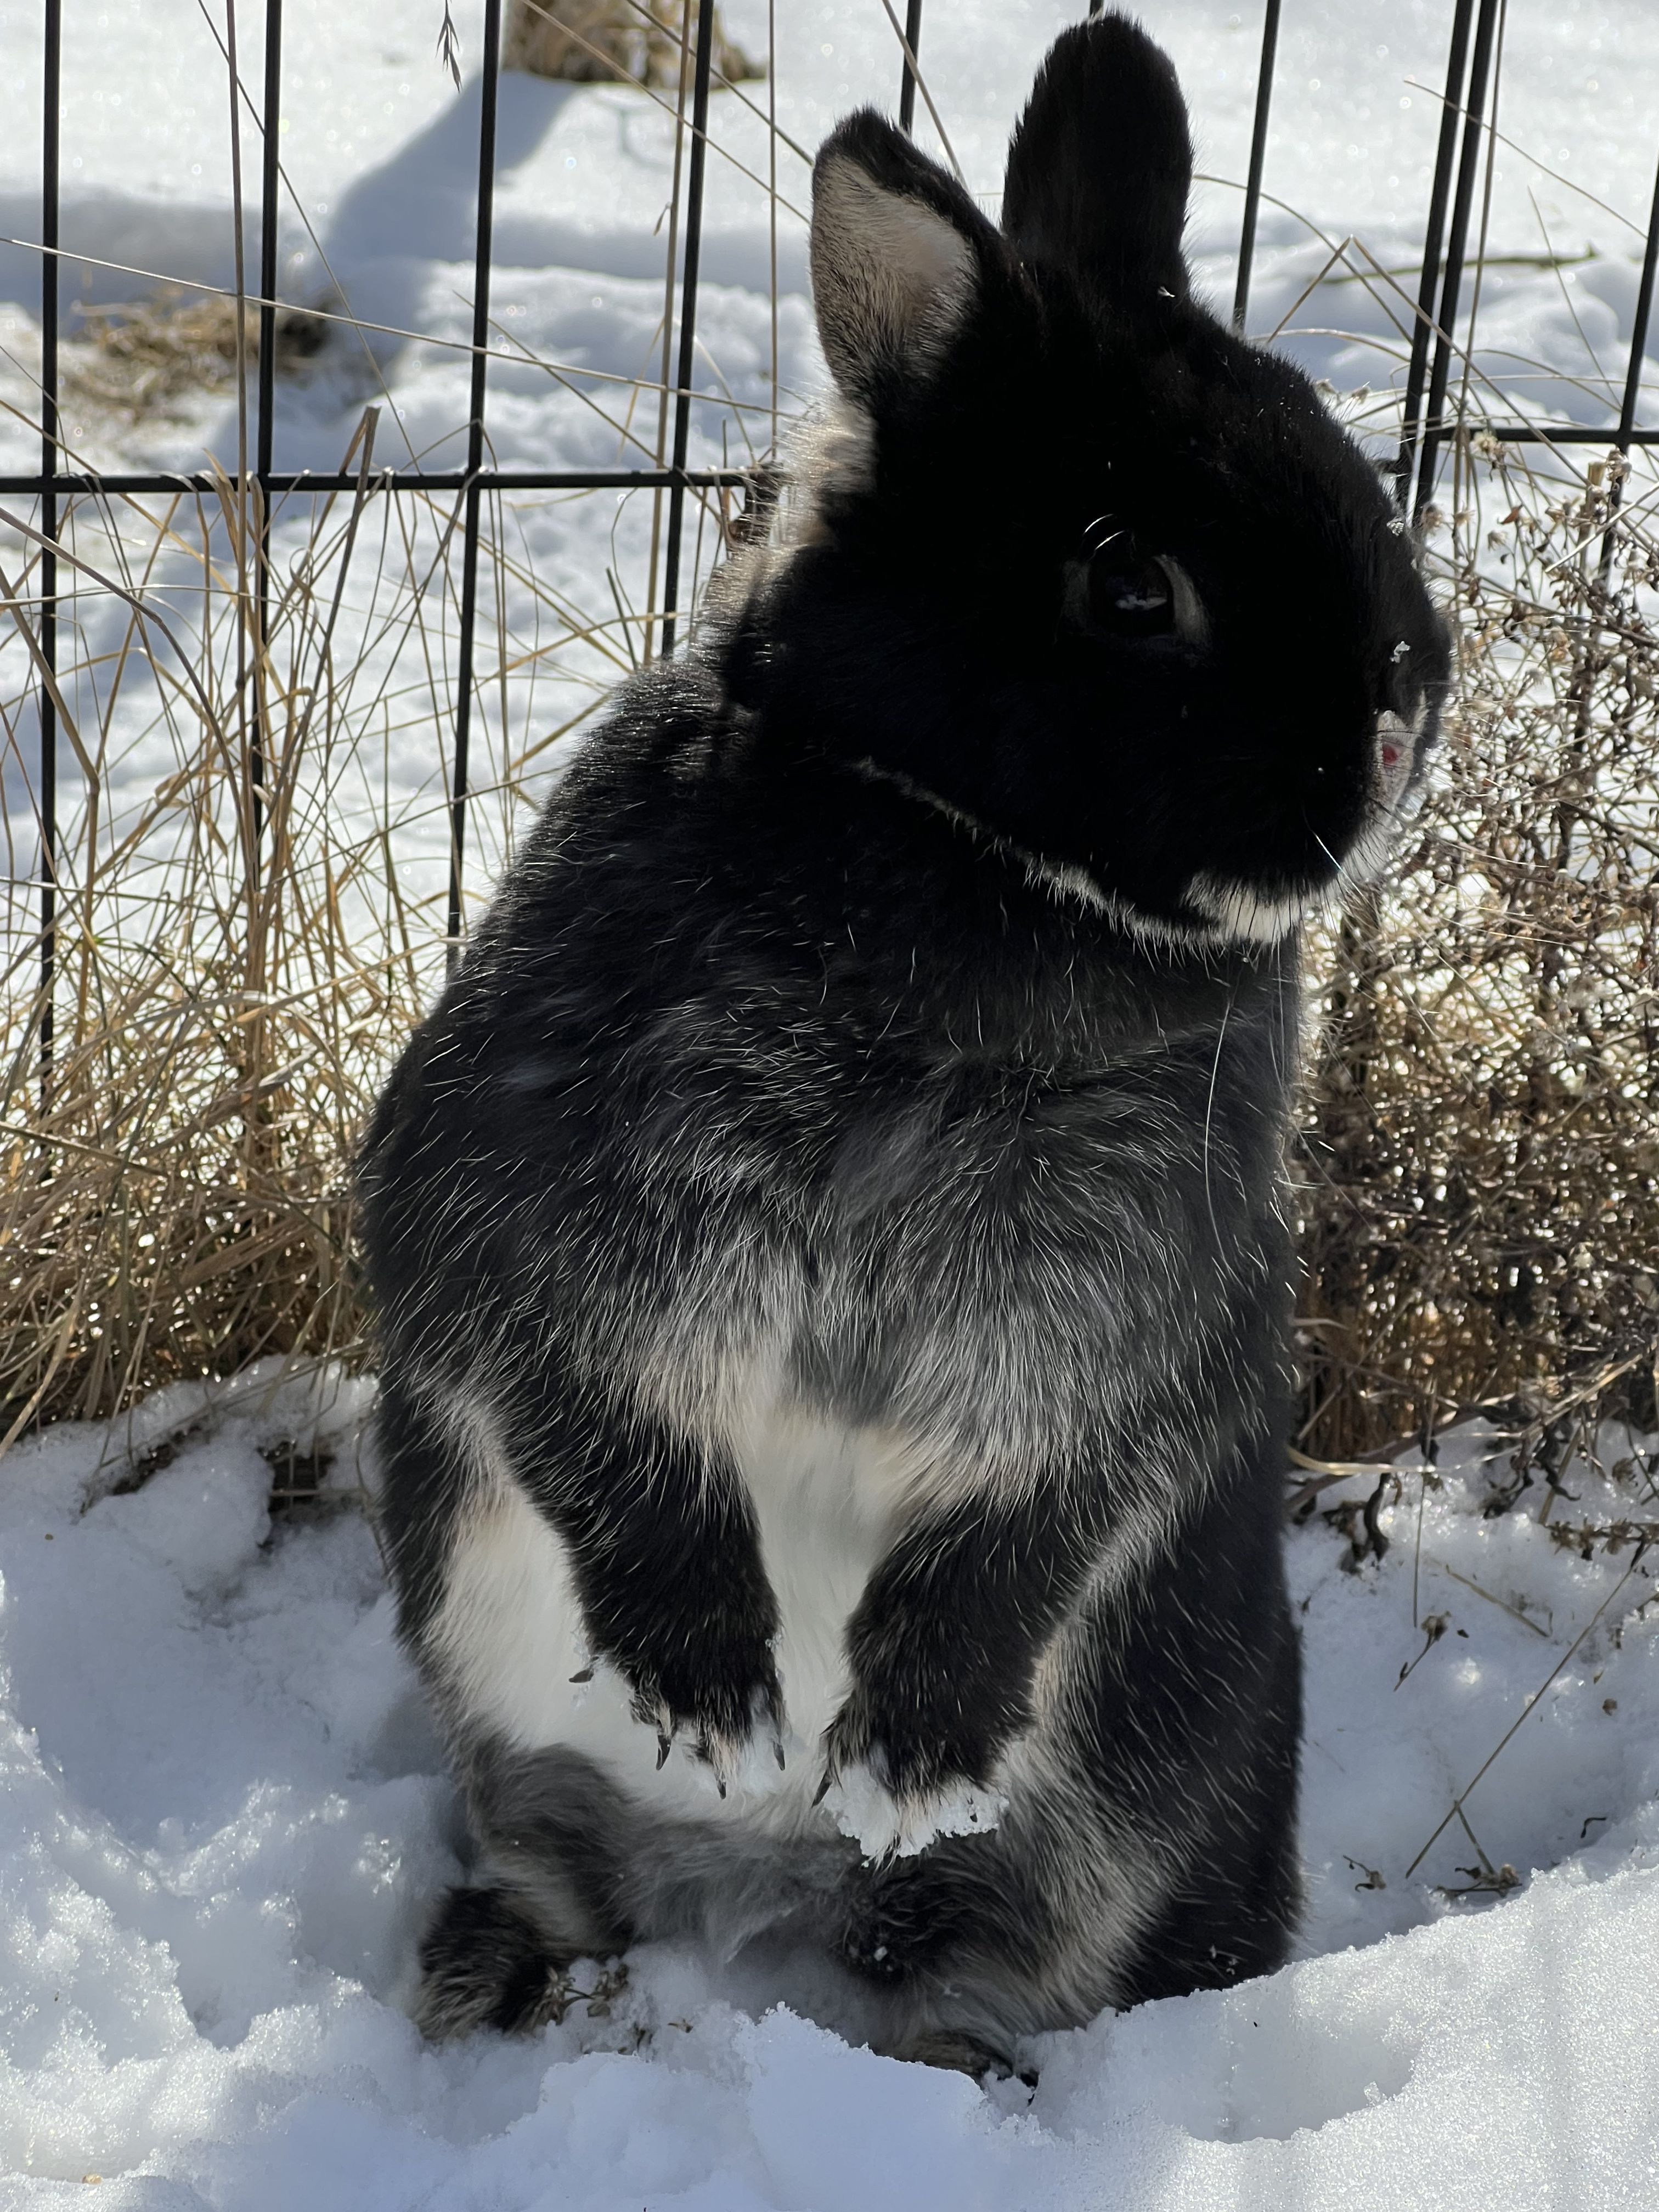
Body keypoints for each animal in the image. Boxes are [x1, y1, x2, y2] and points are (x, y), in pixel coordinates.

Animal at [359, 11, 1450, 2075]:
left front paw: (903, 1763)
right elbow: (598, 1421)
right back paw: (504, 1980)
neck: (972, 861)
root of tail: (751, 1919)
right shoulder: (517, 1196)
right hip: (511, 1749)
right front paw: (718, 1699)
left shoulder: (1126, 1327)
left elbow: (1030, 1527)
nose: (1389, 740)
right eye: (1131, 581)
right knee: (560, 1870)